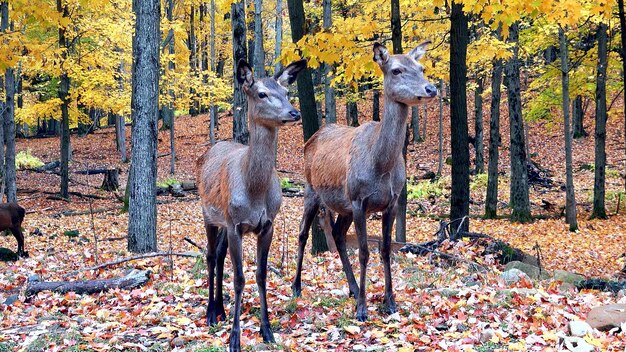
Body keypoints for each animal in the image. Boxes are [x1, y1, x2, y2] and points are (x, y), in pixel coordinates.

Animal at [194, 59, 304, 350]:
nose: (294, 112)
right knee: (211, 256)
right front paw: (235, 338)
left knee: (220, 255)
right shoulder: (236, 224)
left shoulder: (267, 225)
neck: (254, 191)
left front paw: (267, 331)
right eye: (262, 94)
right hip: (209, 214)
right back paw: (210, 312)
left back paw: (220, 309)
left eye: (286, 92)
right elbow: (240, 278)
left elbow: (261, 276)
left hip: (224, 221)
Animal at [292, 41, 434, 322]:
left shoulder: (391, 202)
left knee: (337, 234)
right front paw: (362, 309)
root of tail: (311, 138)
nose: (431, 88)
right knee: (302, 233)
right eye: (396, 70)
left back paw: (353, 288)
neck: (380, 165)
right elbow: (364, 252)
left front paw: (390, 302)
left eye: (422, 67)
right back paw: (297, 287)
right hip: (311, 189)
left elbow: (386, 250)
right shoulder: (359, 200)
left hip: (343, 205)